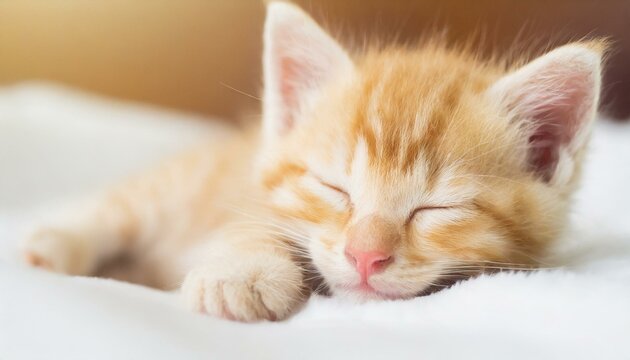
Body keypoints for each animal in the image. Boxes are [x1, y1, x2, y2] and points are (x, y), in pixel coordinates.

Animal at [22, 1, 608, 322]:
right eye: (335, 189)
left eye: (436, 209)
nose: (365, 257)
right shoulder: (246, 195)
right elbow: (253, 223)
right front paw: (243, 273)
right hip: (175, 186)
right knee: (119, 206)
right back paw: (51, 245)